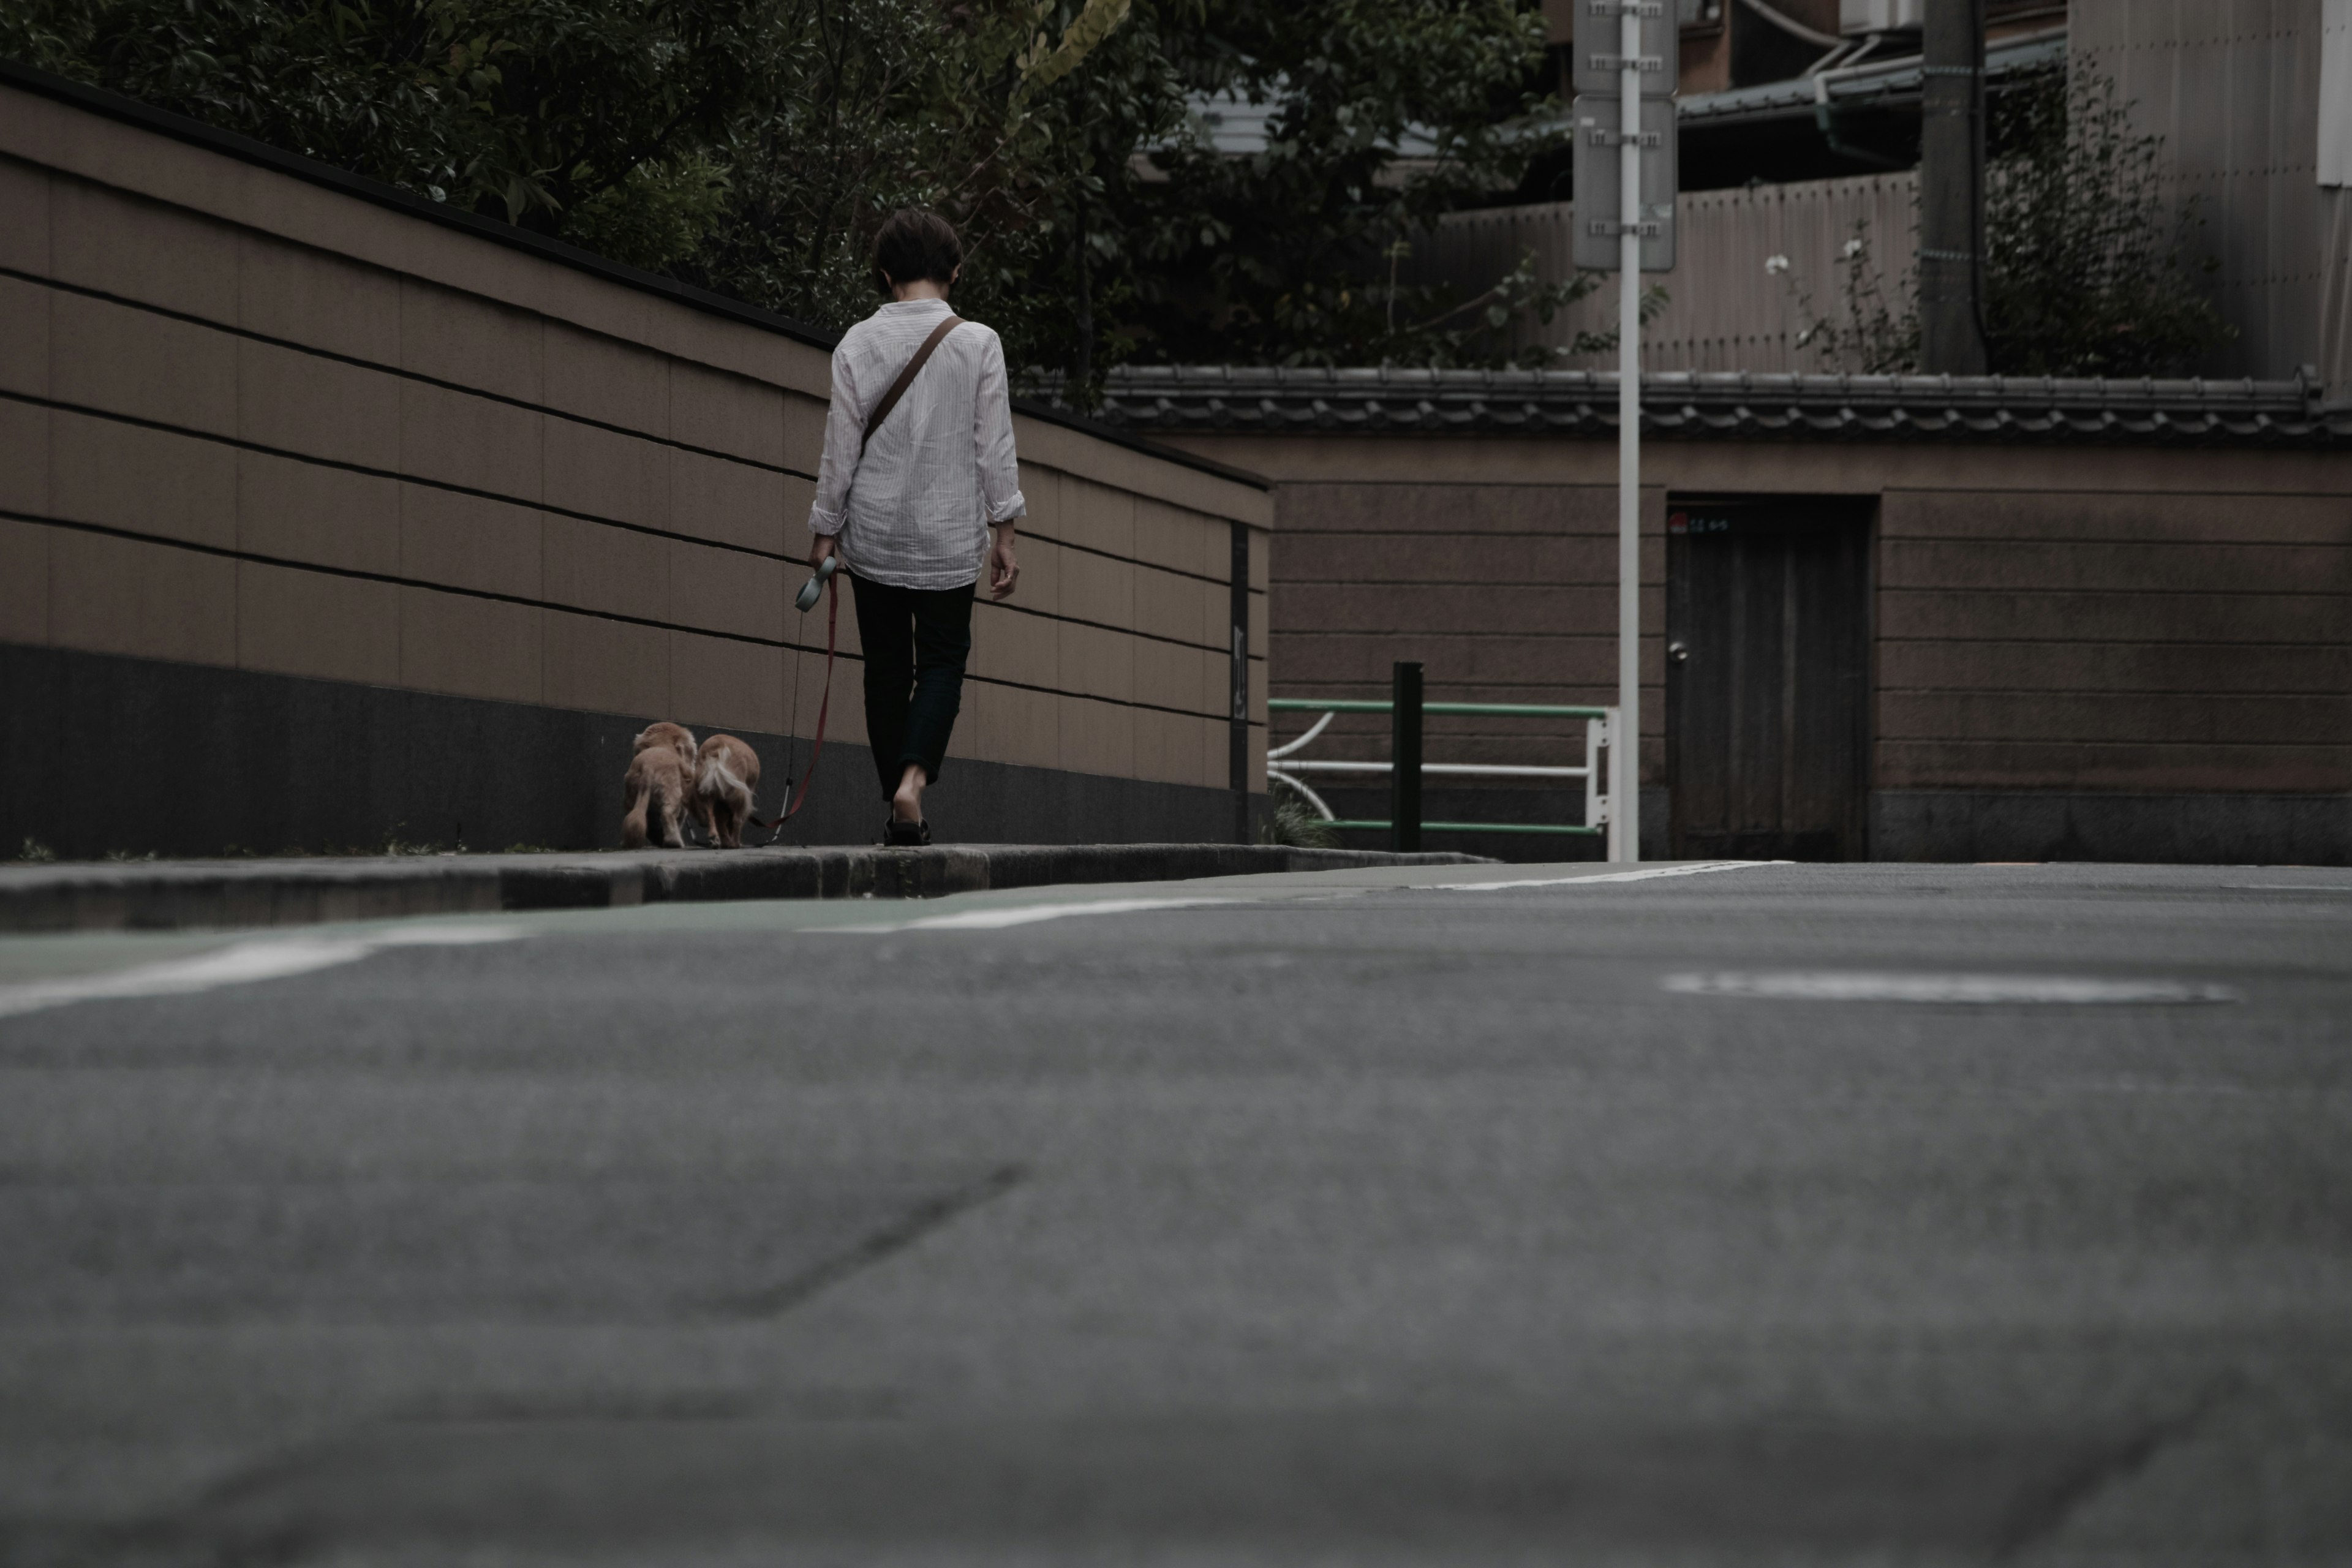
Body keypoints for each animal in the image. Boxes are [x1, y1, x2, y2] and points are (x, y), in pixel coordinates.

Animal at [616, 719, 696, 846]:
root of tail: (647, 767)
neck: (662, 744)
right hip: (672, 792)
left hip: (630, 793)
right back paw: (674, 842)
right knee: (667, 814)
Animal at [687, 738, 762, 851]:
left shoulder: (719, 804)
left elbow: (721, 823)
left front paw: (724, 841)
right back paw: (735, 844)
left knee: (713, 816)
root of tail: (718, 746)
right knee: (737, 819)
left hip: (706, 791)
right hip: (739, 794)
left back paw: (715, 838)